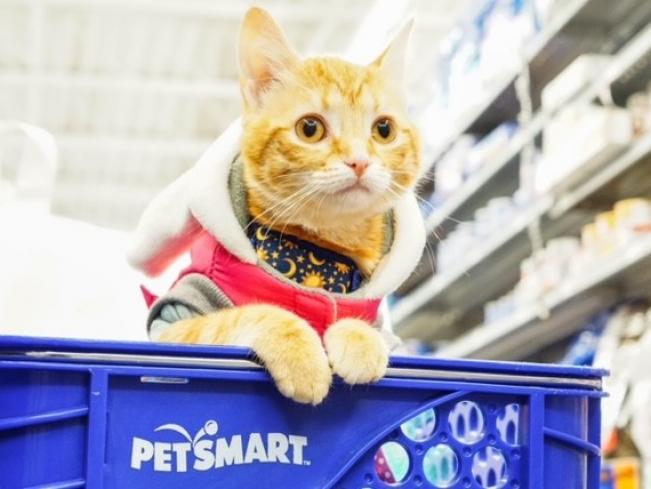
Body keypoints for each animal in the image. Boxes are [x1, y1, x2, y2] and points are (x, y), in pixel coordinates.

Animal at [157, 8, 422, 404]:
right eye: (310, 128)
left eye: (384, 130)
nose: (360, 161)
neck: (319, 257)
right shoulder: (172, 325)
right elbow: (253, 313)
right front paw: (299, 351)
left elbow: (365, 324)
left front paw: (359, 337)